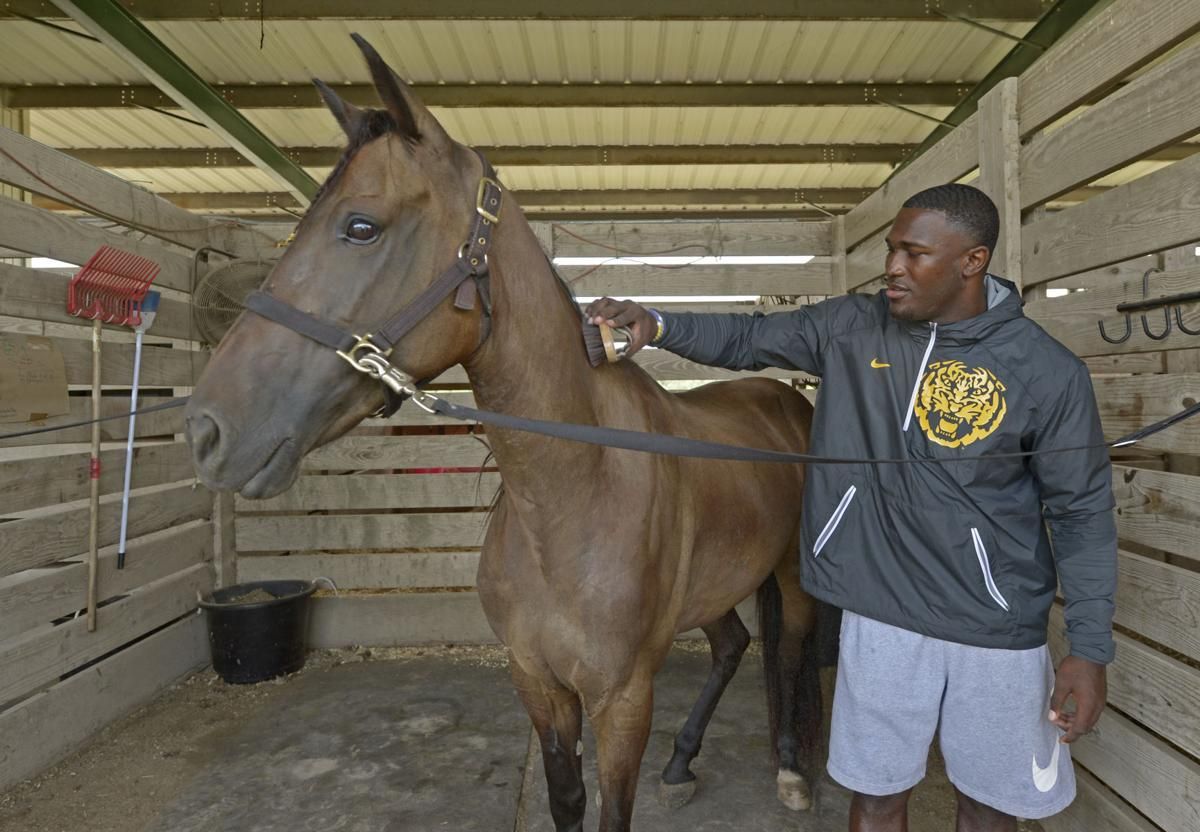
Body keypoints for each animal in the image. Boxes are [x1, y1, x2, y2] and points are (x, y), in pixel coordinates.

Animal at [185, 34, 821, 832]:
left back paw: (792, 770)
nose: (207, 429)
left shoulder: (622, 699)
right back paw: (682, 763)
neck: (570, 500)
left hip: (791, 577)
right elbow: (565, 798)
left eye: (360, 226)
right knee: (734, 645)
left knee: (790, 652)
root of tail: (785, 401)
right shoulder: (539, 684)